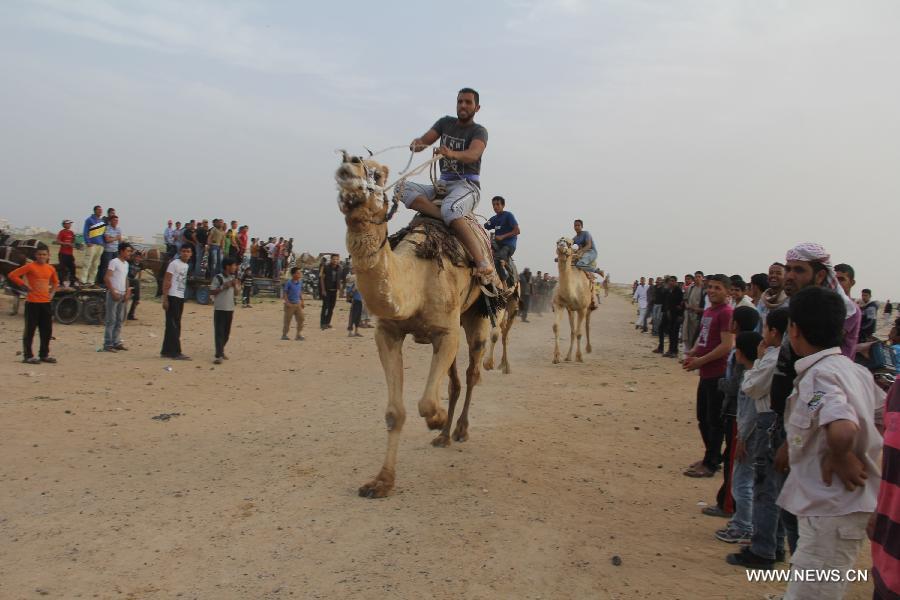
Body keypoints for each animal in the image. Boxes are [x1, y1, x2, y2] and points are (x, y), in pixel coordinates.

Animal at [334, 152, 500, 500]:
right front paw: (381, 482)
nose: (347, 170)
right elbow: (394, 412)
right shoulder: (388, 332)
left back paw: (459, 429)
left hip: (476, 314)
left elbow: (426, 403)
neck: (415, 280)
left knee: (472, 371)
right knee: (454, 381)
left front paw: (437, 418)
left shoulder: (445, 333)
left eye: (376, 174)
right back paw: (444, 436)